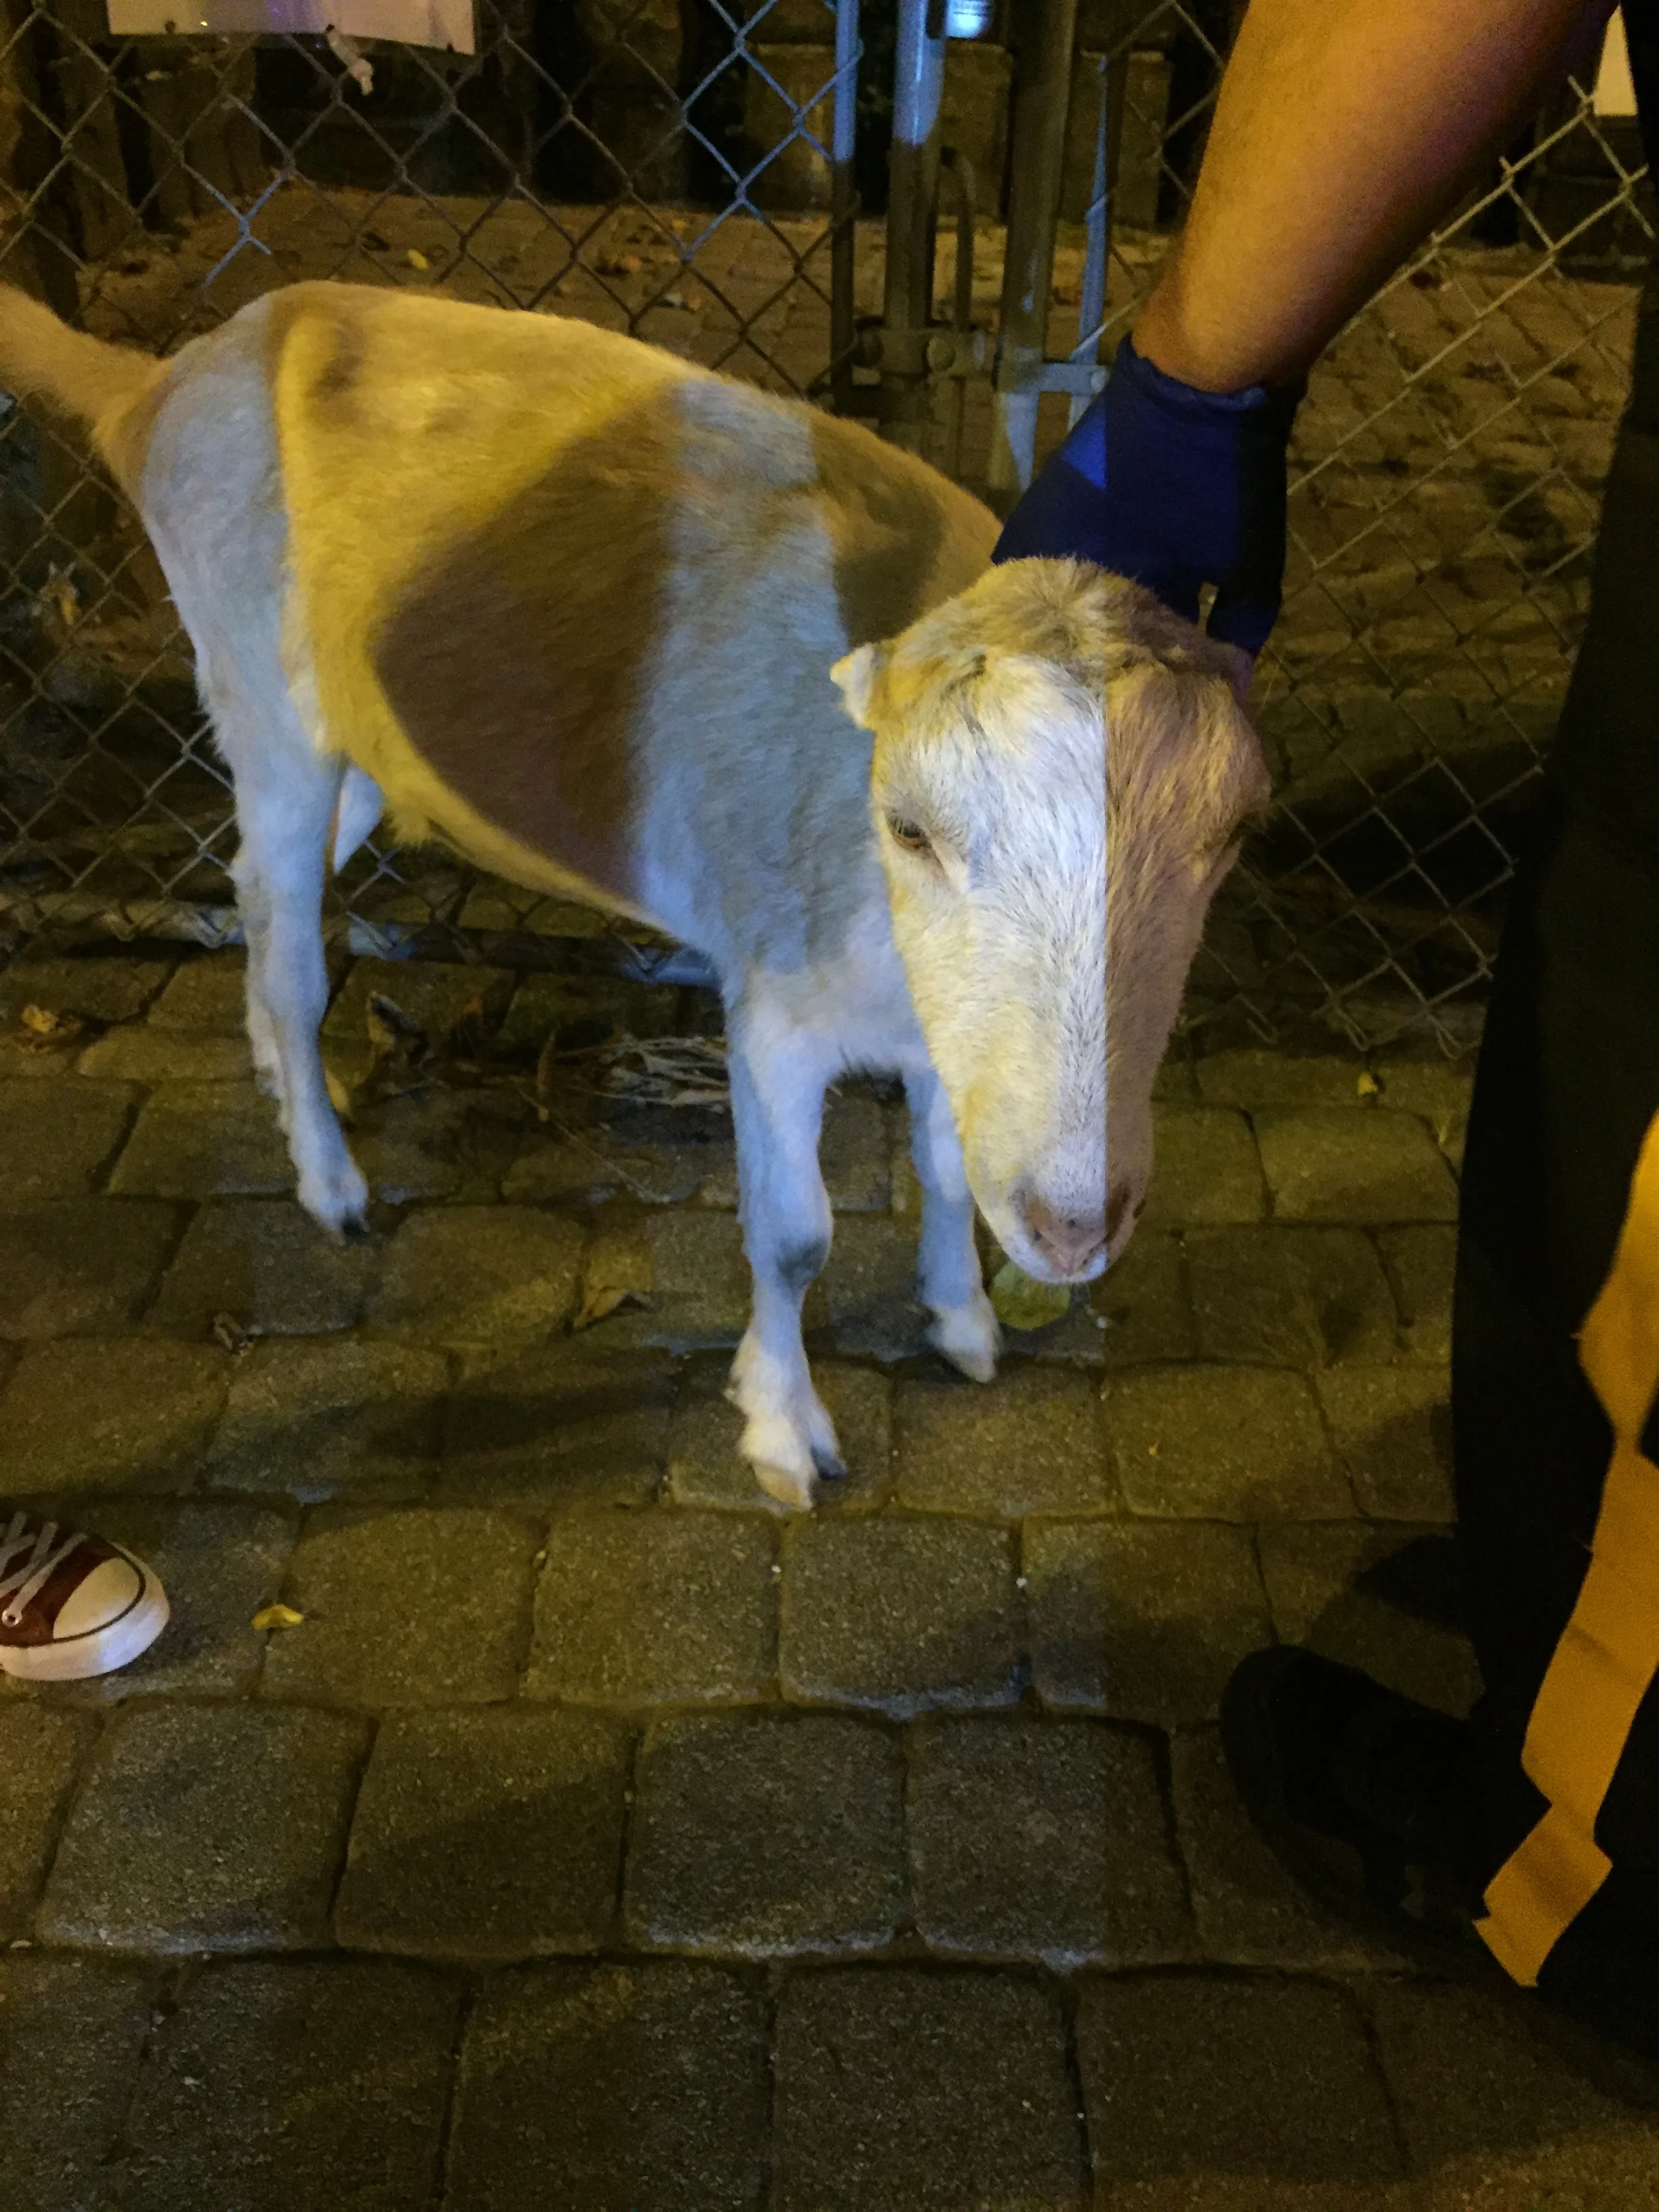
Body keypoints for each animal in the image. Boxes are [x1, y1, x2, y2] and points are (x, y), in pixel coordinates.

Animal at [0, 281, 1267, 1508]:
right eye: (908, 826)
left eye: (1231, 835)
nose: (1073, 1225)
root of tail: (162, 383)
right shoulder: (774, 1000)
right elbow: (795, 1236)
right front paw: (782, 1432)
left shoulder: (938, 1033)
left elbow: (948, 1162)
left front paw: (961, 1322)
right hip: (262, 694)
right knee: (294, 952)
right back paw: (331, 1182)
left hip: (357, 743)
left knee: (264, 896)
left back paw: (278, 1074)